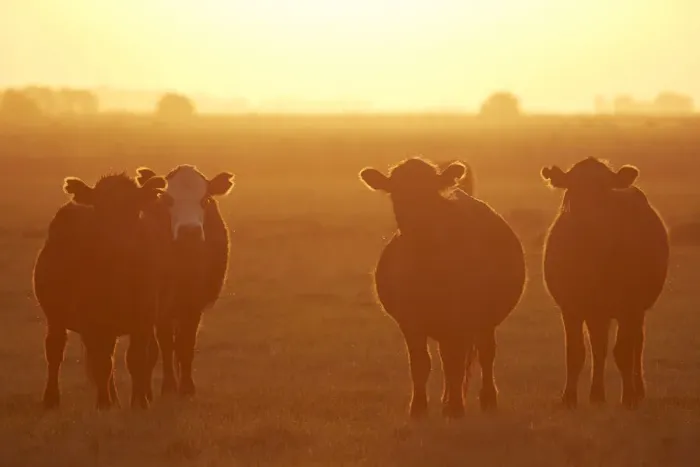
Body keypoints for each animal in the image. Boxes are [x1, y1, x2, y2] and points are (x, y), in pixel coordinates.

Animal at [33, 170, 166, 410]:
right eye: (100, 210)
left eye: (134, 210)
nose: (119, 243)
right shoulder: (92, 322)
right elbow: (101, 363)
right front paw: (103, 404)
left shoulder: (144, 318)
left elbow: (136, 359)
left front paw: (139, 402)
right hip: (55, 316)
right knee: (55, 350)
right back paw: (52, 398)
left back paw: (114, 398)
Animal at [136, 165, 234, 397]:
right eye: (167, 199)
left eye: (205, 199)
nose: (190, 231)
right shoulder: (161, 306)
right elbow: (166, 344)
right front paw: (170, 385)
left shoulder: (194, 304)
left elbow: (186, 344)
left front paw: (187, 385)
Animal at [360, 157, 526, 418]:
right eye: (396, 193)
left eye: (430, 192)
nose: (417, 223)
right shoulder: (410, 322)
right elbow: (421, 363)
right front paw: (419, 407)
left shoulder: (458, 320)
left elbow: (454, 362)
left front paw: (455, 408)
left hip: (483, 321)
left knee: (484, 354)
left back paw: (486, 398)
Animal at [541, 157, 669, 409]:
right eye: (573, 187)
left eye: (604, 190)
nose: (587, 218)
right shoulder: (570, 308)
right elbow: (576, 352)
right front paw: (569, 397)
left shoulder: (629, 307)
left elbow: (623, 352)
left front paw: (628, 397)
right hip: (597, 313)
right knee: (599, 347)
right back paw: (597, 394)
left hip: (634, 311)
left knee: (636, 344)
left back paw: (637, 390)